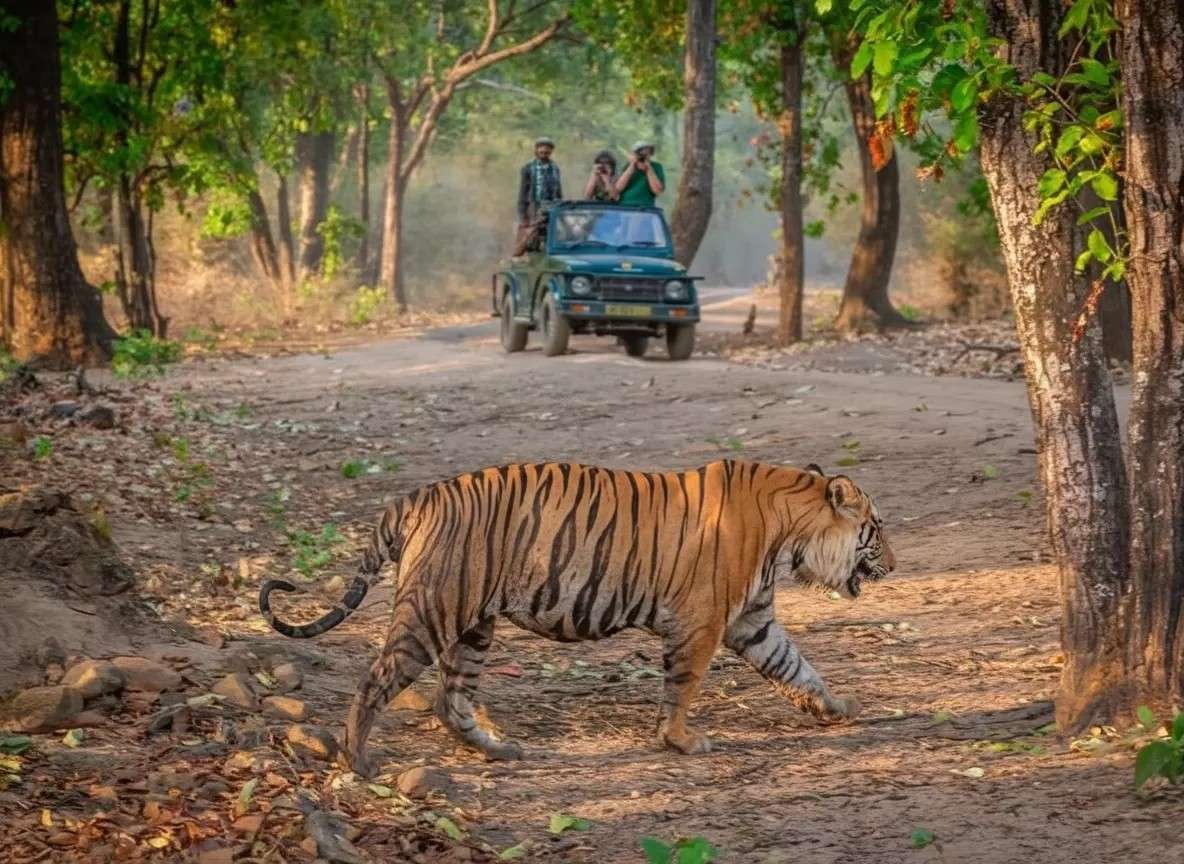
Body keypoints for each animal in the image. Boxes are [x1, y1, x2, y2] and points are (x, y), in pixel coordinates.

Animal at [259, 459, 895, 778]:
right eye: (878, 528)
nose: (895, 563)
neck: (791, 528)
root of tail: (415, 497)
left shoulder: (752, 621)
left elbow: (797, 667)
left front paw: (839, 707)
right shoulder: (702, 622)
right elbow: (684, 686)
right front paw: (680, 741)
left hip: (472, 625)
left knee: (450, 699)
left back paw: (498, 750)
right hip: (432, 611)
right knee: (374, 682)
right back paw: (358, 759)